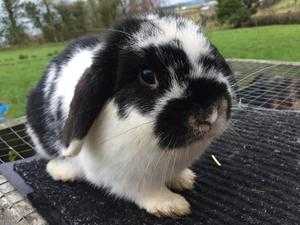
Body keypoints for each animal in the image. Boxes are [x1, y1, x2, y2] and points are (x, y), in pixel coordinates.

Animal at [26, 14, 234, 218]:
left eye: (212, 63)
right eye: (148, 76)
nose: (210, 112)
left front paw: (184, 179)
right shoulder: (128, 177)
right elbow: (145, 191)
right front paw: (171, 205)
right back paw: (62, 171)